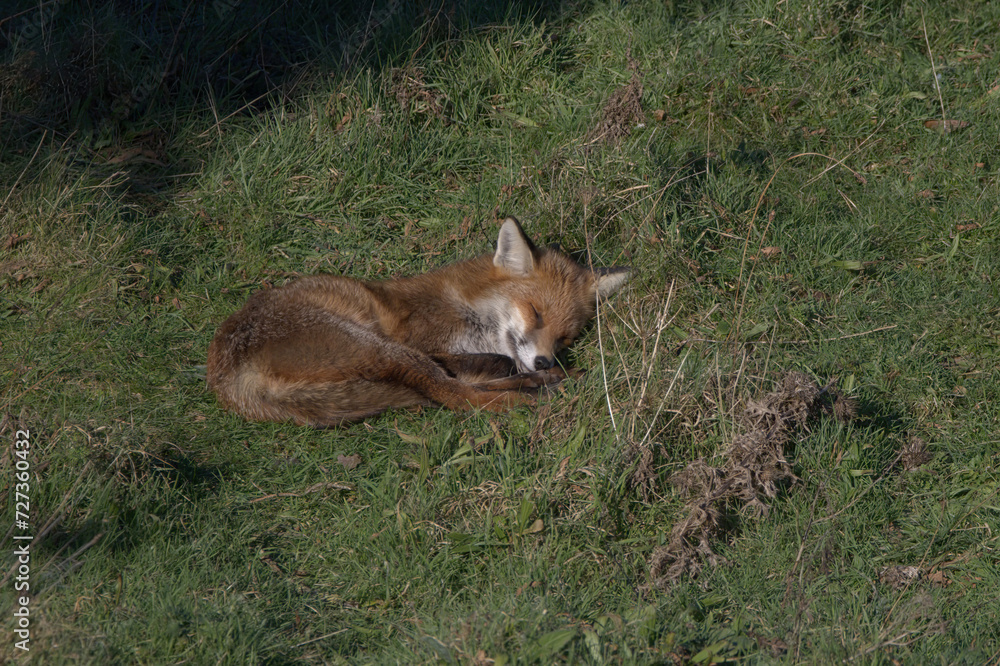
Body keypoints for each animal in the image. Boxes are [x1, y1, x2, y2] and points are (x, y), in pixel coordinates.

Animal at [206, 216, 629, 426]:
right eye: (535, 312)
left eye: (565, 338)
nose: (545, 360)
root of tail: (230, 381)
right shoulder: (419, 339)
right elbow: (476, 368)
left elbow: (486, 365)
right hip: (377, 347)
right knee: (457, 396)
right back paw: (536, 394)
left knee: (453, 388)